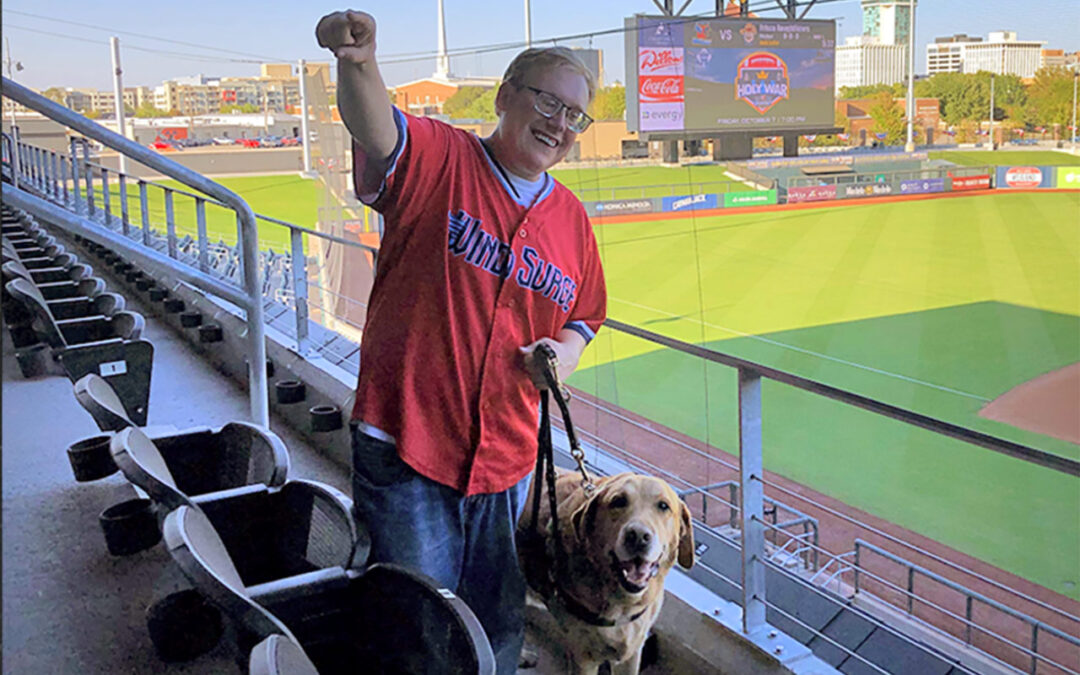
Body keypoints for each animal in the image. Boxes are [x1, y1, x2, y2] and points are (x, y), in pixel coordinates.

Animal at [520, 468, 691, 673]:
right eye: (618, 501)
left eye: (663, 506)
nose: (638, 536)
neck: (624, 603)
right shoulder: (583, 659)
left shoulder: (632, 653)